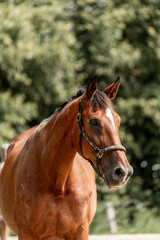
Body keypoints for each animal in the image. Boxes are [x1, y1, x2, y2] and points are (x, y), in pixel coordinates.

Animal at [0, 76, 132, 240]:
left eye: (118, 120)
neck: (58, 186)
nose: (123, 172)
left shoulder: (81, 232)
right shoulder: (26, 233)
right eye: (93, 121)